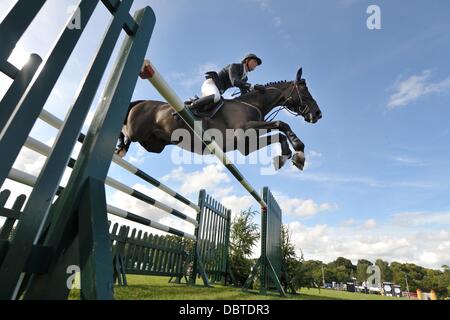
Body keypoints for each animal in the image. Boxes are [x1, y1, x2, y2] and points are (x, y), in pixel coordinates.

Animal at [116, 68, 320, 171]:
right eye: (304, 90)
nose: (318, 114)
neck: (252, 104)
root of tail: (141, 102)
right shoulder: (244, 129)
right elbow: (282, 124)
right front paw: (299, 149)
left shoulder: (245, 144)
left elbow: (279, 134)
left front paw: (287, 157)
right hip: (136, 131)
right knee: (124, 131)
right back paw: (119, 147)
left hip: (153, 144)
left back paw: (121, 149)